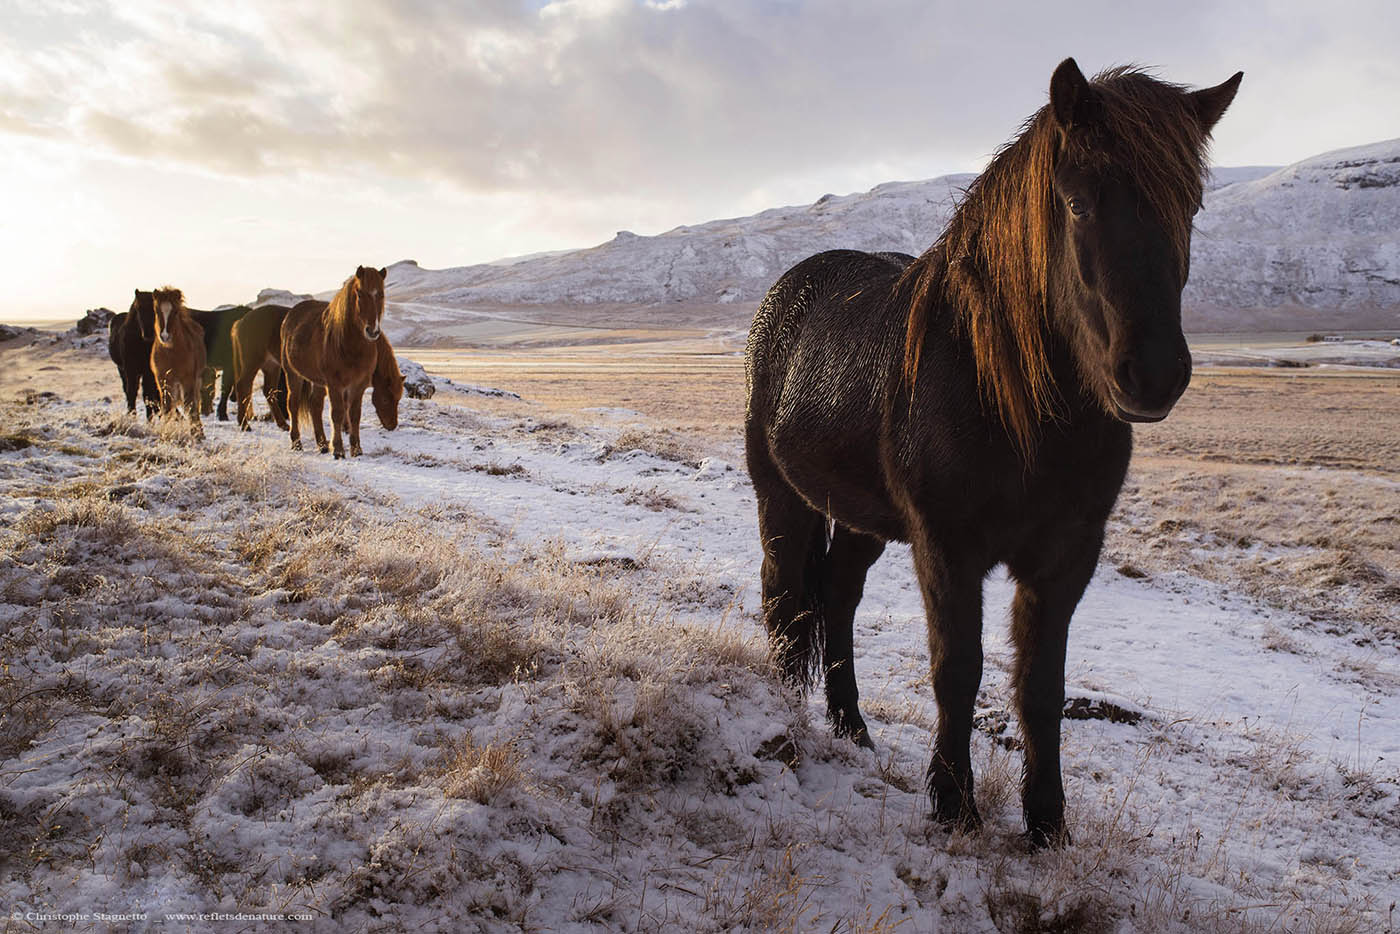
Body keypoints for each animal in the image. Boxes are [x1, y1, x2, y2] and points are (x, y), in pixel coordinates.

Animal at [149, 285, 205, 439]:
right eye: (157, 311)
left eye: (175, 312)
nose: (164, 336)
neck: (171, 353)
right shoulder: (163, 379)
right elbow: (167, 408)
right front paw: (166, 432)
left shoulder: (188, 379)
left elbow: (190, 406)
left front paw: (196, 434)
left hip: (195, 380)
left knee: (195, 403)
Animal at [280, 264, 386, 459]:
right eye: (360, 293)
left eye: (381, 294)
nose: (372, 331)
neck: (350, 345)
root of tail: (290, 315)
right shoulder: (335, 384)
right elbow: (337, 413)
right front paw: (338, 450)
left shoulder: (359, 384)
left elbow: (354, 415)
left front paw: (356, 449)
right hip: (292, 374)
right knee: (293, 404)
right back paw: (297, 443)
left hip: (317, 381)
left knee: (315, 405)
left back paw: (322, 444)